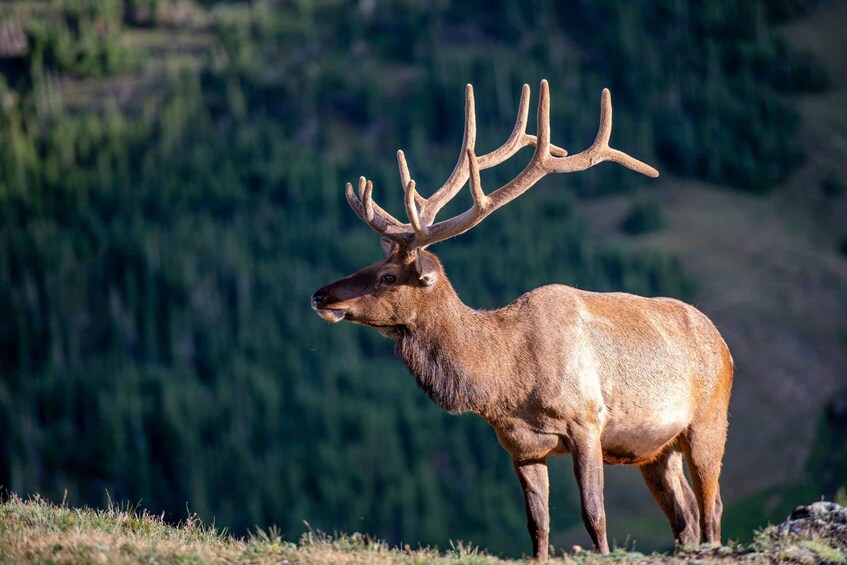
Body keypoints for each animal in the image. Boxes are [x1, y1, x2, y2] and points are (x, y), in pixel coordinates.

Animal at [311, 80, 734, 560]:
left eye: (387, 276)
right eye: (371, 264)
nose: (321, 295)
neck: (506, 380)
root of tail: (724, 346)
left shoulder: (586, 420)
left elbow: (594, 515)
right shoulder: (520, 446)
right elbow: (538, 525)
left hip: (708, 421)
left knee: (712, 506)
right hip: (656, 450)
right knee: (685, 516)